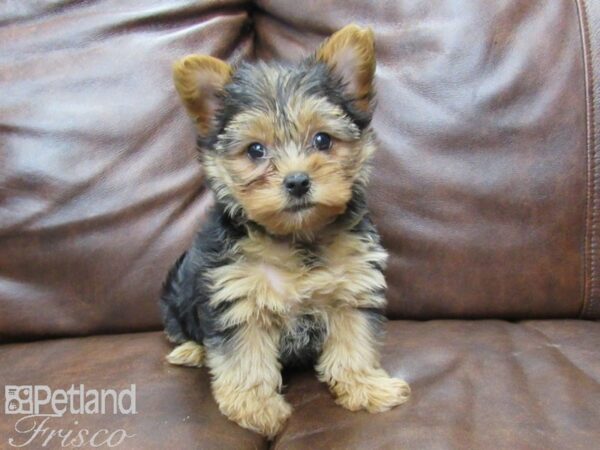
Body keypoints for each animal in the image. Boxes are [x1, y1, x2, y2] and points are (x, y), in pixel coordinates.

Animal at [161, 23, 408, 436]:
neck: (297, 236)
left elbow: (354, 342)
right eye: (255, 150)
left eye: (323, 139)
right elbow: (245, 357)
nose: (297, 181)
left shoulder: (352, 287)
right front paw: (255, 406)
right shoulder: (237, 297)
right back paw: (192, 350)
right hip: (177, 295)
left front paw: (365, 386)